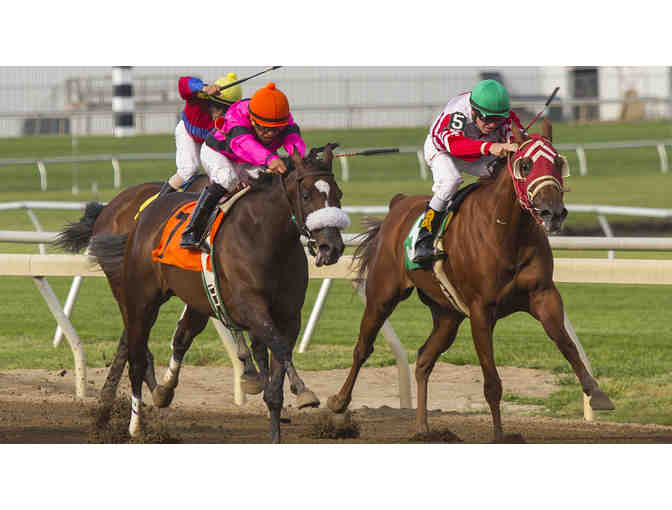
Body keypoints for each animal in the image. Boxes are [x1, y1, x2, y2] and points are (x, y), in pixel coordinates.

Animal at [88, 144, 346, 442]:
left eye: (338, 194)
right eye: (306, 195)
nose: (332, 247)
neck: (267, 237)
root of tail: (145, 211)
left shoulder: (288, 316)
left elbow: (278, 362)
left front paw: (276, 419)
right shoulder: (250, 307)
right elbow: (277, 347)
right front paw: (303, 391)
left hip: (195, 298)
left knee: (181, 336)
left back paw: (161, 392)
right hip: (139, 298)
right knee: (136, 354)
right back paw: (135, 425)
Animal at [326, 121, 616, 440]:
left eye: (558, 162)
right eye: (526, 164)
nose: (553, 213)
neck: (507, 231)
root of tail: (398, 203)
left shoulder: (543, 294)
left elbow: (566, 343)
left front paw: (596, 393)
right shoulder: (481, 311)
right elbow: (491, 381)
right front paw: (500, 436)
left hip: (447, 314)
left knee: (424, 360)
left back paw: (423, 427)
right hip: (383, 294)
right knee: (363, 348)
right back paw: (339, 402)